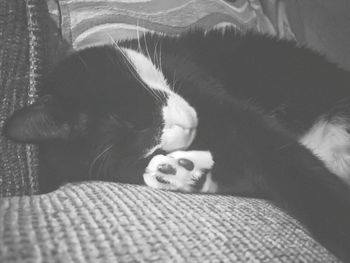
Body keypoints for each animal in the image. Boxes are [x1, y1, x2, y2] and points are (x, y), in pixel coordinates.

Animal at [3, 27, 350, 262]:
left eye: (139, 109)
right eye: (144, 147)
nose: (183, 128)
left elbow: (278, 155)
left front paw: (337, 221)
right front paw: (183, 172)